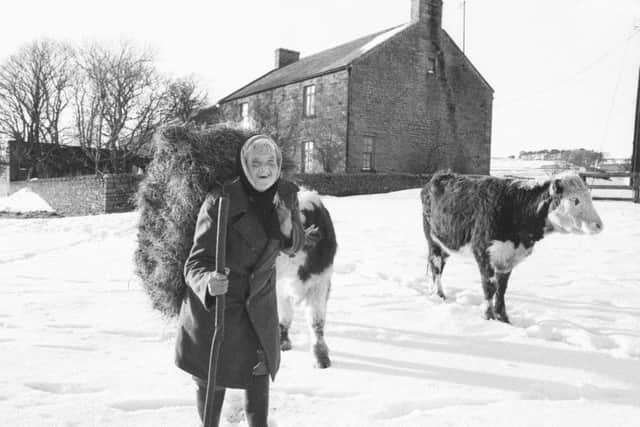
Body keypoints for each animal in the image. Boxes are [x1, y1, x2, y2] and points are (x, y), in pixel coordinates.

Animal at [276, 191, 338, 368]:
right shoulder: (278, 287)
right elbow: (284, 315)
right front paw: (283, 343)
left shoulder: (320, 283)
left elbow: (316, 321)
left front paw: (321, 358)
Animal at [422, 170, 604, 320]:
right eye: (575, 200)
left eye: (590, 197)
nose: (599, 225)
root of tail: (441, 175)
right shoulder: (484, 252)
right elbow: (489, 287)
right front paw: (489, 317)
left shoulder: (508, 259)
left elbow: (502, 289)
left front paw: (503, 318)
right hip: (433, 241)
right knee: (436, 267)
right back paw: (439, 295)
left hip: (447, 243)